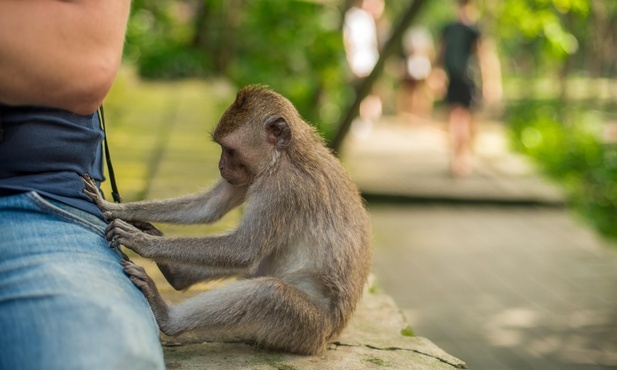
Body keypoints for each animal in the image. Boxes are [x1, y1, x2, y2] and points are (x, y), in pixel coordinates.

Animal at [81, 85, 370, 354]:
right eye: (221, 148)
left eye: (229, 150)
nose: (220, 166)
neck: (283, 156)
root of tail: (329, 338)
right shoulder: (251, 177)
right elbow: (210, 207)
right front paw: (118, 209)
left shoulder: (283, 189)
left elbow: (243, 250)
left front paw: (141, 242)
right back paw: (177, 274)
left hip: (306, 328)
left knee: (268, 292)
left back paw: (168, 317)